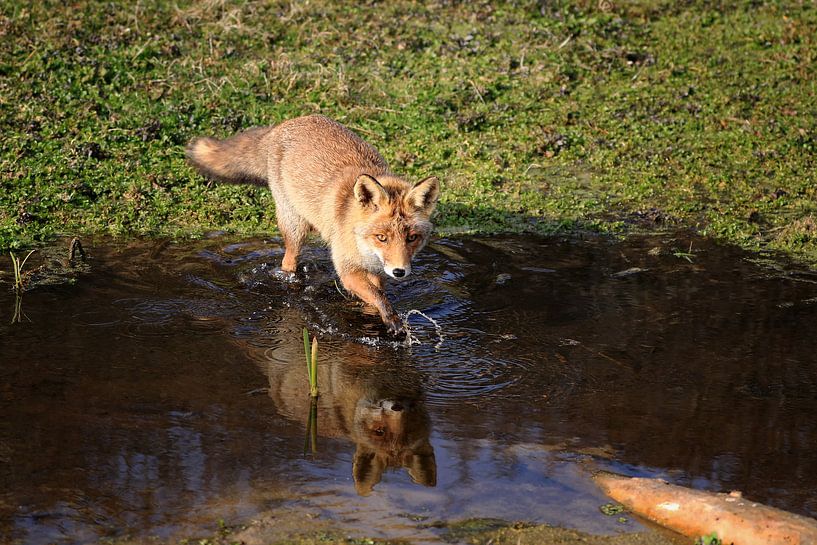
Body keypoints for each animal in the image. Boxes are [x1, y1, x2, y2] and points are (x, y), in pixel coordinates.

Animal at [186, 114, 440, 333]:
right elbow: (379, 297)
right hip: (294, 228)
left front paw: (374, 316)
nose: (399, 271)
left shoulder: (376, 271)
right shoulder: (347, 270)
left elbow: (376, 296)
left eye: (412, 238)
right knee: (288, 262)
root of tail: (285, 123)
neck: (362, 244)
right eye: (382, 237)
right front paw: (393, 320)